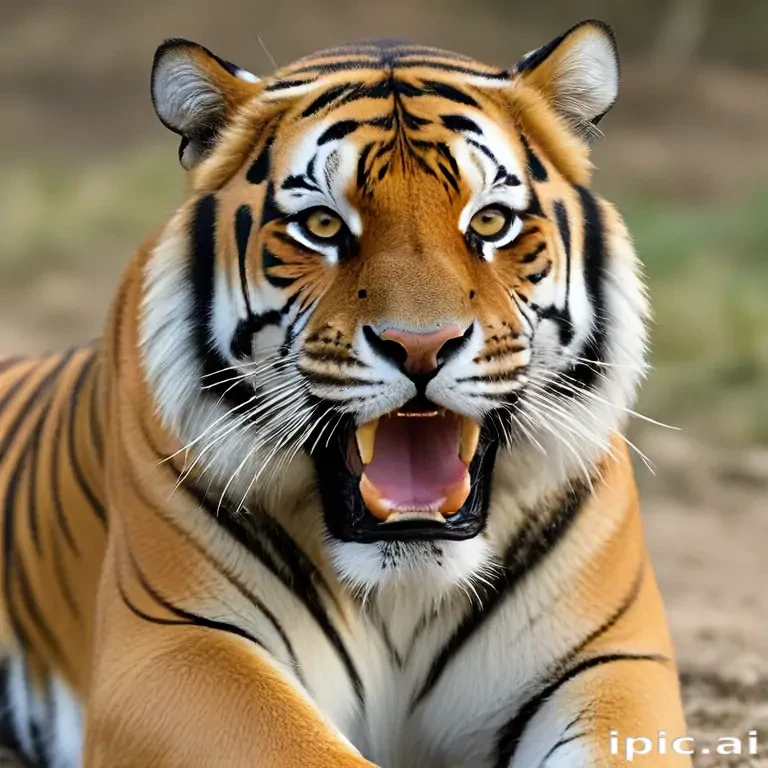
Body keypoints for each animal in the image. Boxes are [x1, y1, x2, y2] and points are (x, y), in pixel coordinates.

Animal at [0, 19, 690, 767]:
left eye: (489, 224)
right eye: (324, 226)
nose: (421, 345)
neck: (404, 591)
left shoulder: (611, 660)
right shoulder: (175, 644)